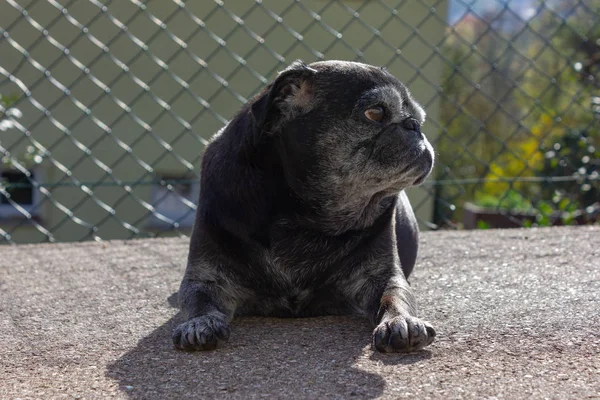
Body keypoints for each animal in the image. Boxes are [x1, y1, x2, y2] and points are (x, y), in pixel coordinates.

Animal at [173, 59, 436, 354]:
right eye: (375, 113)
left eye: (419, 118)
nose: (413, 124)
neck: (306, 215)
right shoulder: (205, 278)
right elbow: (199, 301)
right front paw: (199, 324)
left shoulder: (382, 276)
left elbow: (395, 296)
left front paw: (401, 322)